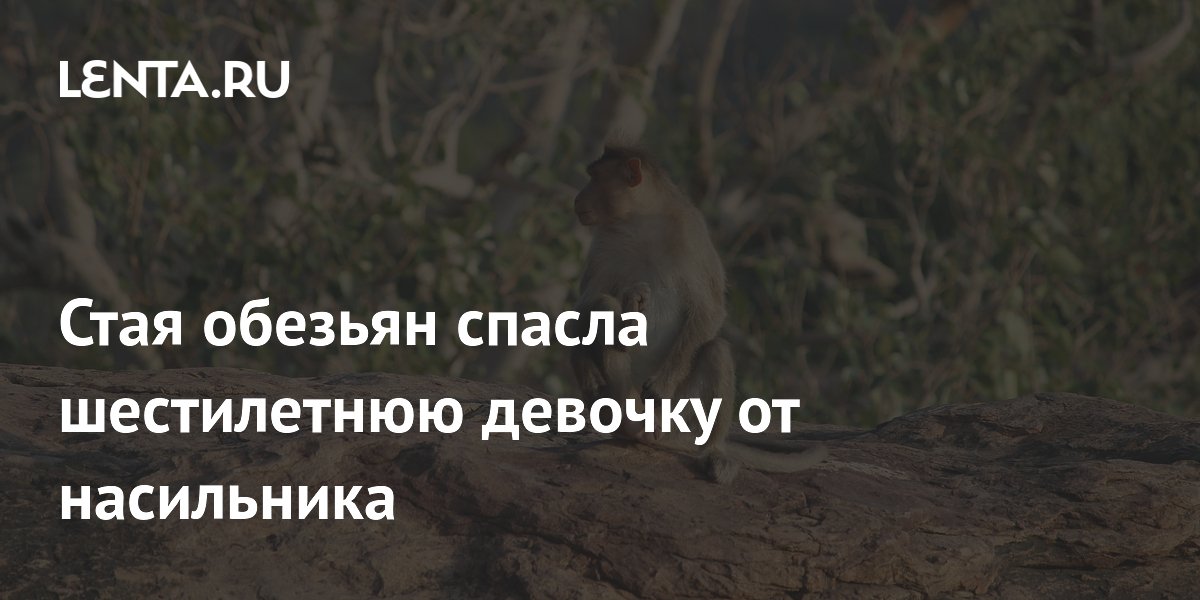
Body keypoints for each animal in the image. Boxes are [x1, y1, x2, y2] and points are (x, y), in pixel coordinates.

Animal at [569, 146, 827, 484]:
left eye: (595, 178)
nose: (577, 198)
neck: (641, 222)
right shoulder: (604, 244)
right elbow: (584, 305)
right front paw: (583, 366)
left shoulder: (691, 232)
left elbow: (709, 308)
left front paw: (661, 384)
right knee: (603, 306)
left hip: (678, 415)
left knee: (716, 351)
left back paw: (712, 452)